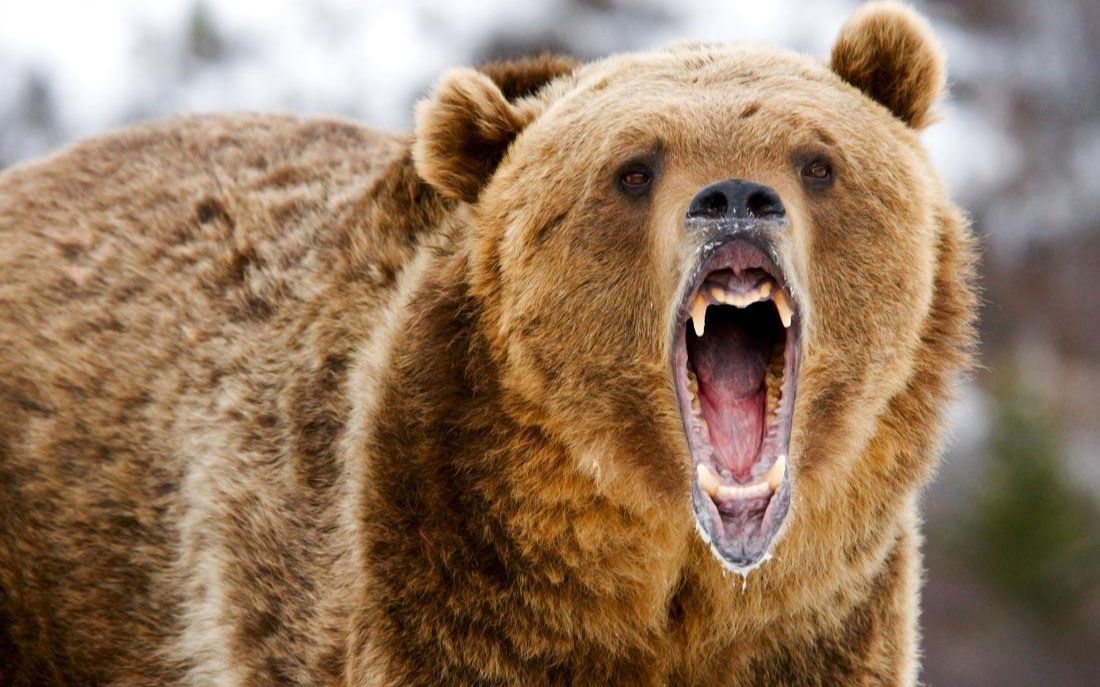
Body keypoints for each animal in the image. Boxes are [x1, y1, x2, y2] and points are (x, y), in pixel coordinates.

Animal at [0, 2, 976, 685]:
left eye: (817, 161)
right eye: (634, 169)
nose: (736, 198)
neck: (678, 572)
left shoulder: (819, 618)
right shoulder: (445, 570)